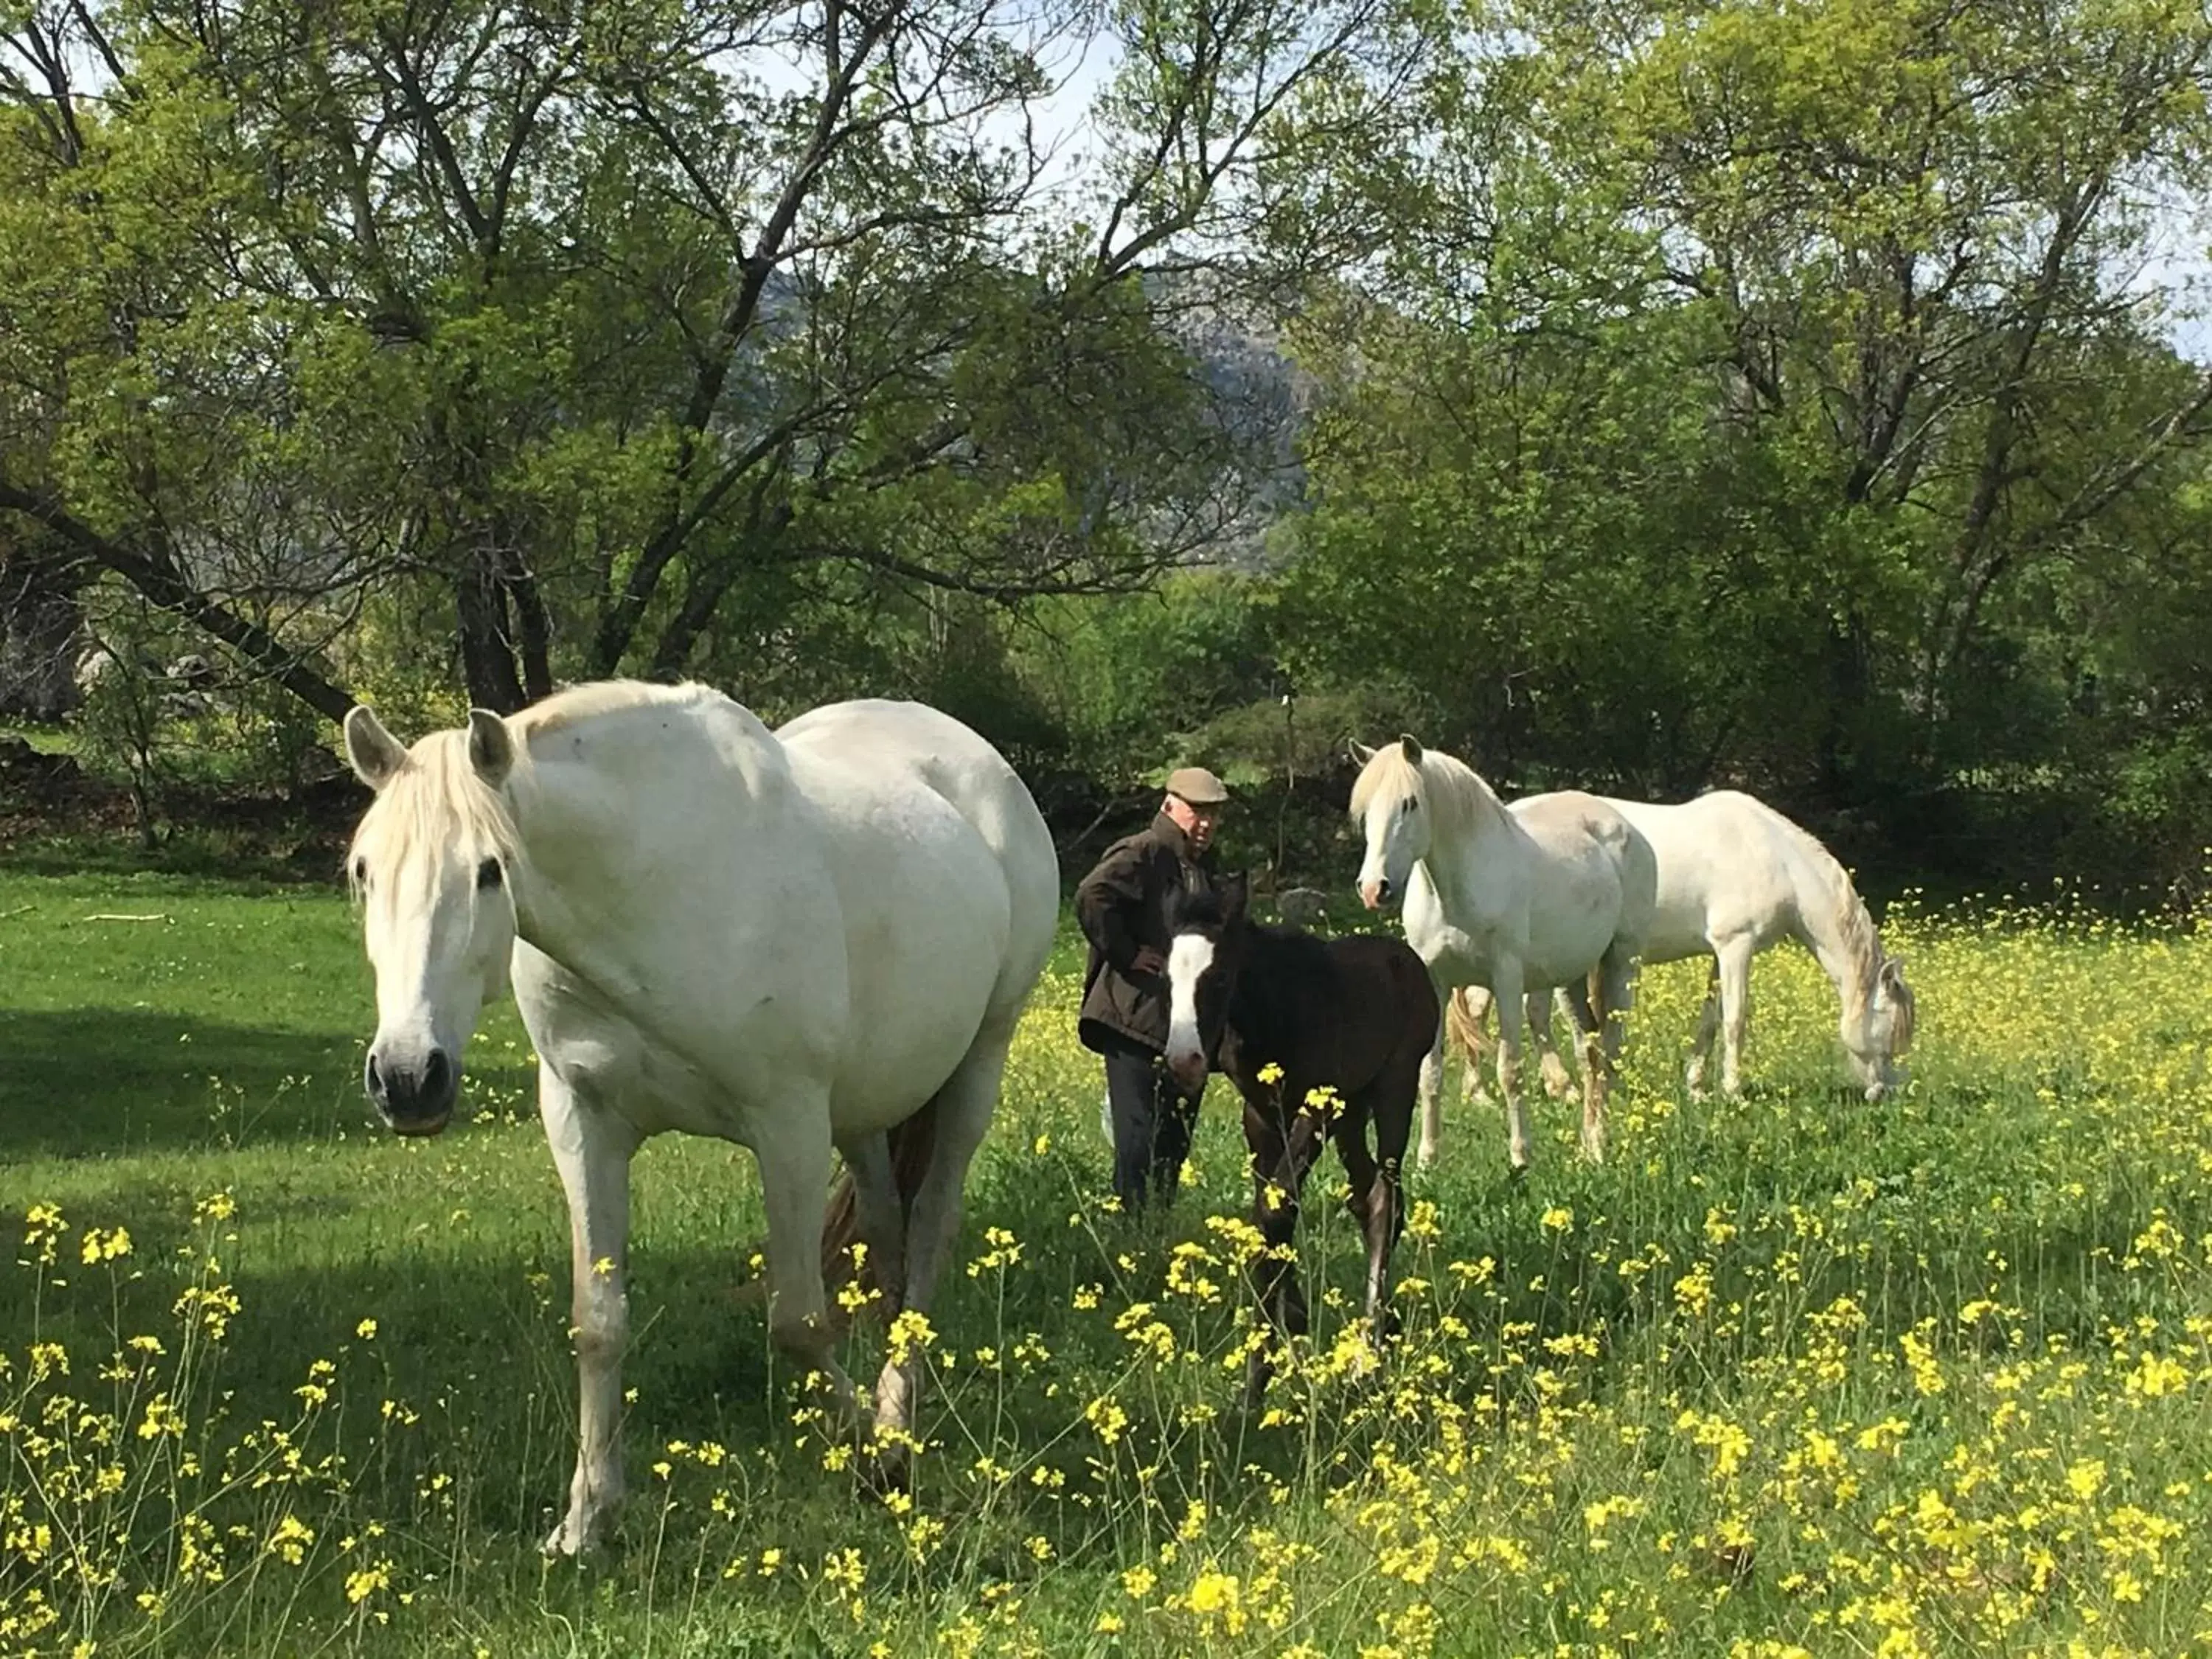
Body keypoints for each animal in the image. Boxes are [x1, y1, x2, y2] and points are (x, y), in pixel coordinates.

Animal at [345, 677, 1062, 1557]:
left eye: (488, 870)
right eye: (363, 870)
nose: (408, 1078)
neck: (655, 887)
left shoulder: (788, 1124)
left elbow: (796, 1322)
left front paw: (874, 1457)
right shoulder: (583, 1120)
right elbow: (598, 1323)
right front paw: (586, 1521)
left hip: (975, 1067)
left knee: (930, 1231)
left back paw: (895, 1421)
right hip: (864, 1112)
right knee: (887, 1238)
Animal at [1336, 739, 1655, 1168]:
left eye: (1410, 803)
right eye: (1365, 809)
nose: (1374, 888)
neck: (1455, 895)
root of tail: (1624, 827)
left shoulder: (1505, 980)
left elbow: (1510, 1070)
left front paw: (1521, 1156)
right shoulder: (1436, 983)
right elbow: (1430, 1072)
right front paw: (1427, 1158)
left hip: (1621, 963)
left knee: (1610, 1050)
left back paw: (1605, 1142)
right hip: (1572, 978)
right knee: (1589, 1051)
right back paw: (1590, 1145)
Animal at [1451, 792, 1920, 1106]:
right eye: (1891, 1028)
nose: (1885, 1093)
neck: (1776, 856)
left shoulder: (1720, 953)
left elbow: (1710, 1018)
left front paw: (1696, 1086)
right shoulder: (1736, 945)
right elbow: (1735, 1020)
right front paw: (1733, 1092)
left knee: (1524, 1014)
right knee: (1483, 1011)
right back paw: (1485, 1094)